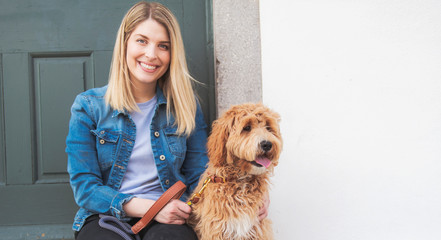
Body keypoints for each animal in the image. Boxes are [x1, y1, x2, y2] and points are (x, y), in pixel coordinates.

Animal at [186, 103, 282, 240]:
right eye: (247, 127)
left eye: (268, 127)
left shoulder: (258, 229)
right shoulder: (216, 230)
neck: (240, 181)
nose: (267, 144)